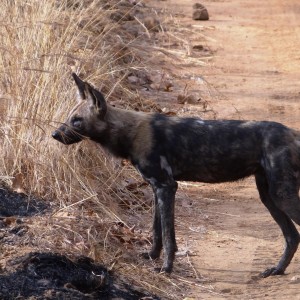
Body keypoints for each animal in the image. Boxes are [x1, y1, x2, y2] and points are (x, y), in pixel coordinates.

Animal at [52, 72, 300, 276]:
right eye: (69, 118)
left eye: (77, 121)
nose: (55, 134)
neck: (128, 132)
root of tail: (294, 133)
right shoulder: (157, 189)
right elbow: (157, 231)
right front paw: (152, 256)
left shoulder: (166, 187)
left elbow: (168, 235)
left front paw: (166, 268)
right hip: (269, 197)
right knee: (292, 236)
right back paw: (277, 270)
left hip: (282, 196)